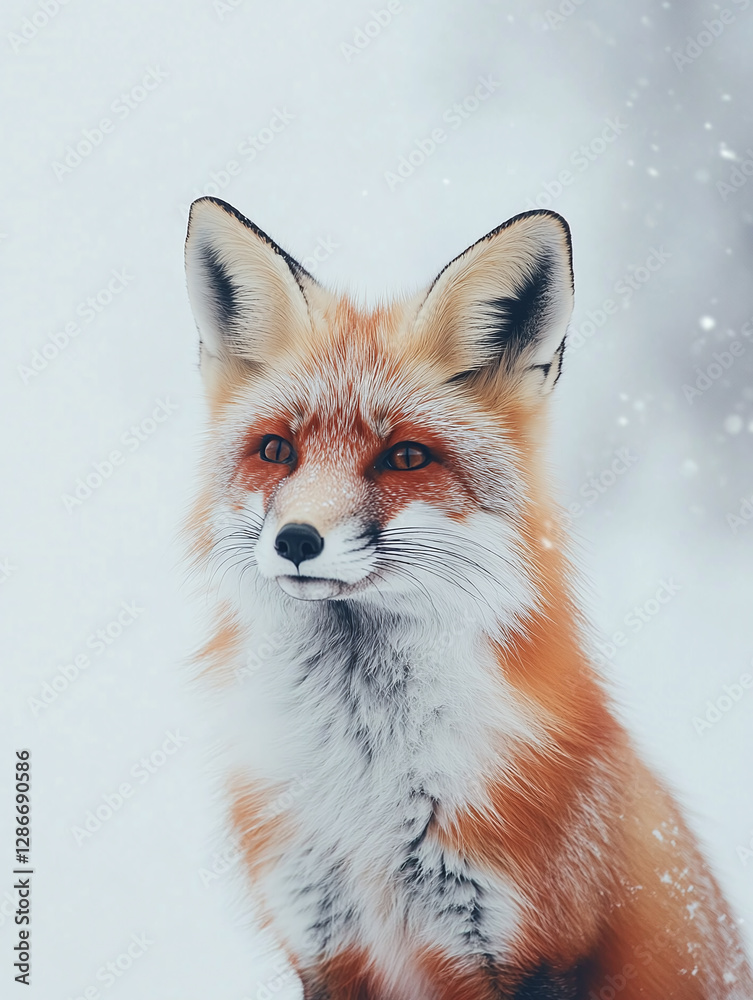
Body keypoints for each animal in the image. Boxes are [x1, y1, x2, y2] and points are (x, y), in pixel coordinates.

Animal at [184, 196, 753, 999]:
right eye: (275, 451)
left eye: (404, 457)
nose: (296, 539)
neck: (366, 788)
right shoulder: (322, 945)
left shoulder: (532, 953)